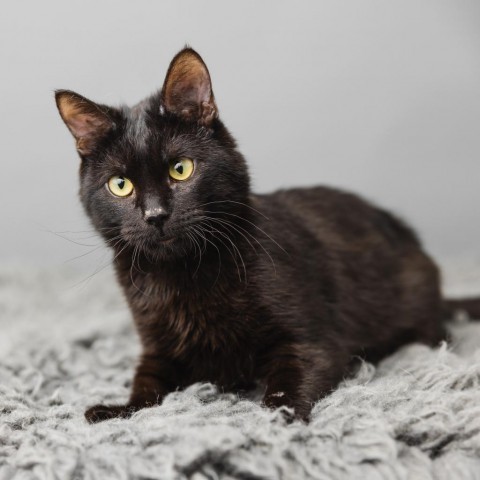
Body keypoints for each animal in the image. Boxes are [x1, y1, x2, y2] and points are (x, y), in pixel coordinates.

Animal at [55, 47, 476, 422]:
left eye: (181, 168)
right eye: (120, 185)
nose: (155, 214)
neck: (184, 274)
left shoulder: (312, 341)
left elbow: (290, 384)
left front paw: (273, 423)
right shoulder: (157, 347)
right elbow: (146, 387)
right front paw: (117, 411)